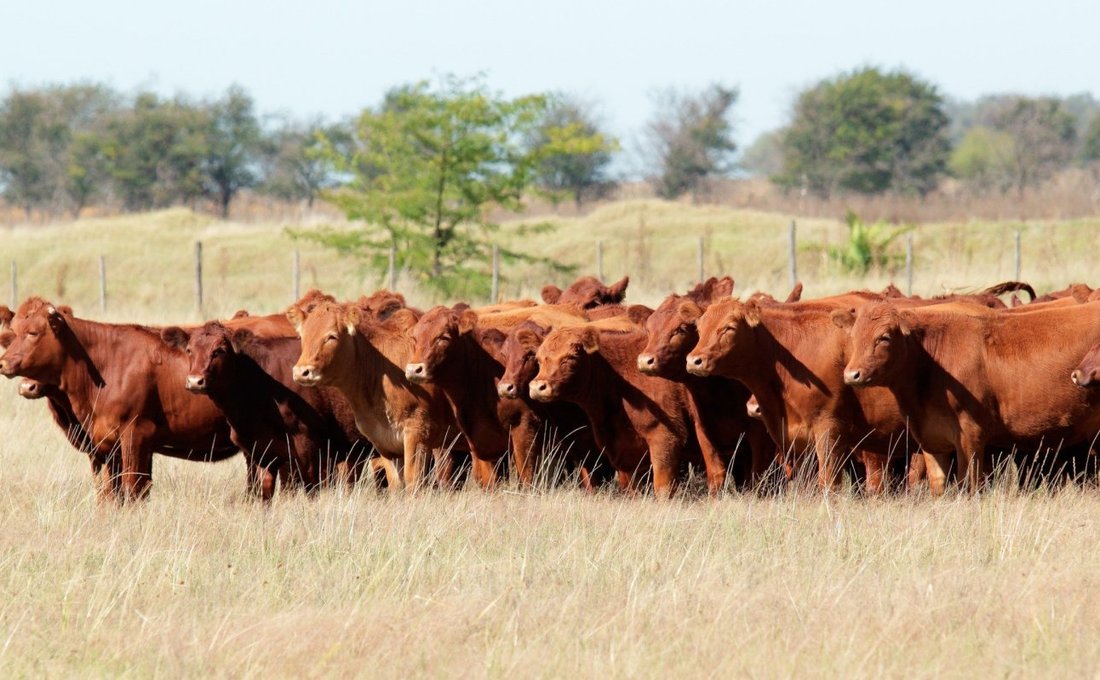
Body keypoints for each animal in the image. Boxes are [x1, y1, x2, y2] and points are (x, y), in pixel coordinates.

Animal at [288, 290, 464, 486]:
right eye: (303, 336)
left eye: (331, 336)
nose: (302, 372)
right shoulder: (385, 444)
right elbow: (395, 482)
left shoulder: (417, 434)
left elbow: (413, 481)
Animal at [836, 299, 1100, 490]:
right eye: (853, 337)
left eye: (884, 337)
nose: (852, 374)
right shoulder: (932, 441)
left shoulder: (971, 437)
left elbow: (969, 486)